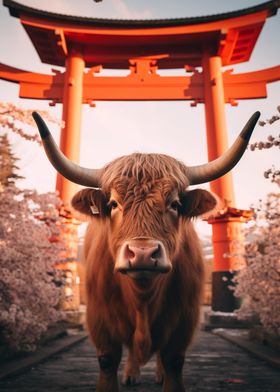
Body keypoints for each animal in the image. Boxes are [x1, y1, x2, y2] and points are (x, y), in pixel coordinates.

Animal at [33, 111, 260, 392]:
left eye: (175, 204)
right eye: (113, 203)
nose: (142, 253)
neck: (142, 298)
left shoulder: (183, 322)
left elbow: (173, 361)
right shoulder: (99, 321)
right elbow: (108, 361)